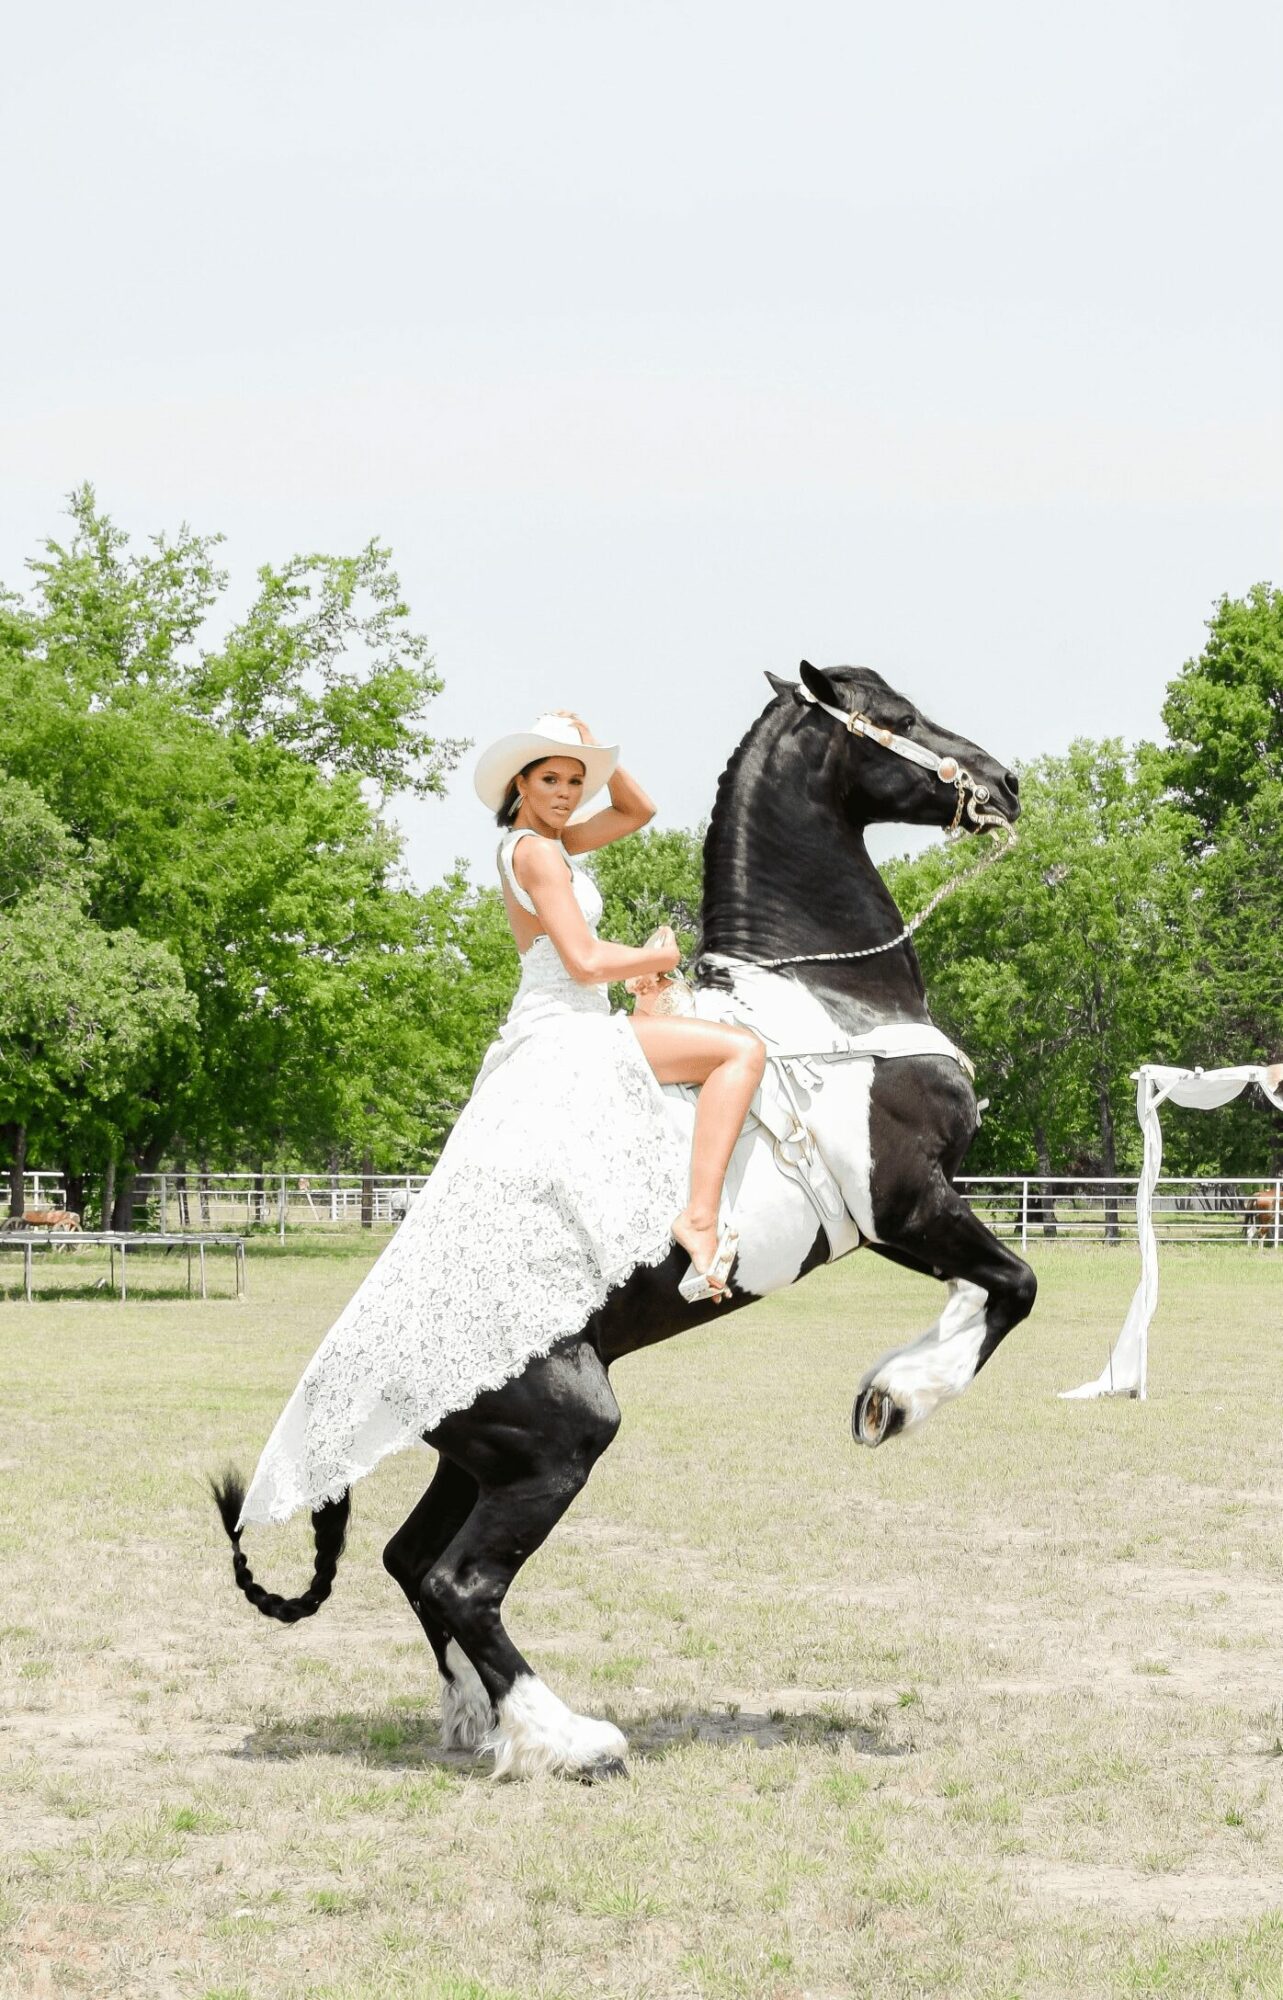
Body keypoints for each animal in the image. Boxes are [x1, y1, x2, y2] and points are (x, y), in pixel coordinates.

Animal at [213, 661, 1036, 1780]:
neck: (829, 1005)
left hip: (479, 1457)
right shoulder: (906, 1203)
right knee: (462, 1582)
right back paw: (568, 1738)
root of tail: (352, 1362)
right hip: (561, 1440)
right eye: (896, 718)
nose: (1001, 784)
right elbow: (1012, 1285)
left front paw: (898, 1381)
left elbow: (986, 1288)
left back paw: (481, 1723)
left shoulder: (922, 1211)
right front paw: (896, 1398)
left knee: (411, 1561)